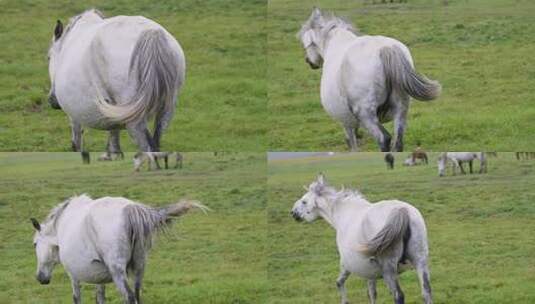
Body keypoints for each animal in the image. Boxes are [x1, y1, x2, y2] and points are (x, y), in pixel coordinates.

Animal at [30, 195, 208, 304]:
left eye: (35, 244)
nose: (40, 278)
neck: (61, 224)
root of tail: (129, 209)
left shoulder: (73, 275)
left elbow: (77, 298)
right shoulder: (98, 278)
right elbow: (100, 298)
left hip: (118, 272)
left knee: (129, 297)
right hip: (139, 267)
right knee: (137, 295)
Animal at [48, 8, 186, 152]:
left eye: (49, 57)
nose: (53, 101)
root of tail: (152, 34)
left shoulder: (74, 114)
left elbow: (77, 142)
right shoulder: (113, 114)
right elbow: (113, 140)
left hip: (135, 119)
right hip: (166, 110)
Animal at [292, 173, 434, 304]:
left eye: (304, 201)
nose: (293, 213)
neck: (343, 215)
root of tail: (401, 211)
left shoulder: (346, 265)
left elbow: (339, 283)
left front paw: (345, 301)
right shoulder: (369, 274)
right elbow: (372, 293)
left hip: (389, 270)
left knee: (398, 296)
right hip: (420, 262)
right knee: (426, 292)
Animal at [298, 8, 440, 152]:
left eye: (305, 44)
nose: (309, 61)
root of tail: (385, 48)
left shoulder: (346, 121)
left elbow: (352, 144)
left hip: (365, 114)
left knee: (383, 139)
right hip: (401, 108)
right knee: (398, 142)